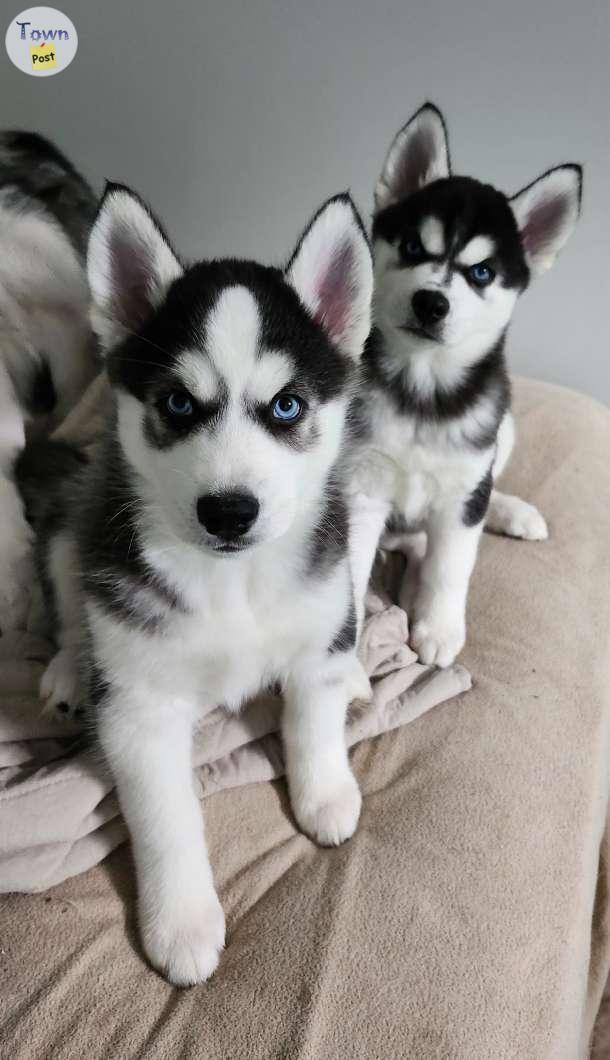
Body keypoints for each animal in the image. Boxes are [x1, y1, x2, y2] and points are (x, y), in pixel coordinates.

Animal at [347, 99, 581, 661]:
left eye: (481, 273)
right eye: (412, 247)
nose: (431, 302)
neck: (422, 389)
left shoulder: (459, 498)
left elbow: (451, 565)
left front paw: (438, 626)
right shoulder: (364, 484)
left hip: (504, 427)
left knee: (481, 492)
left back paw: (512, 511)